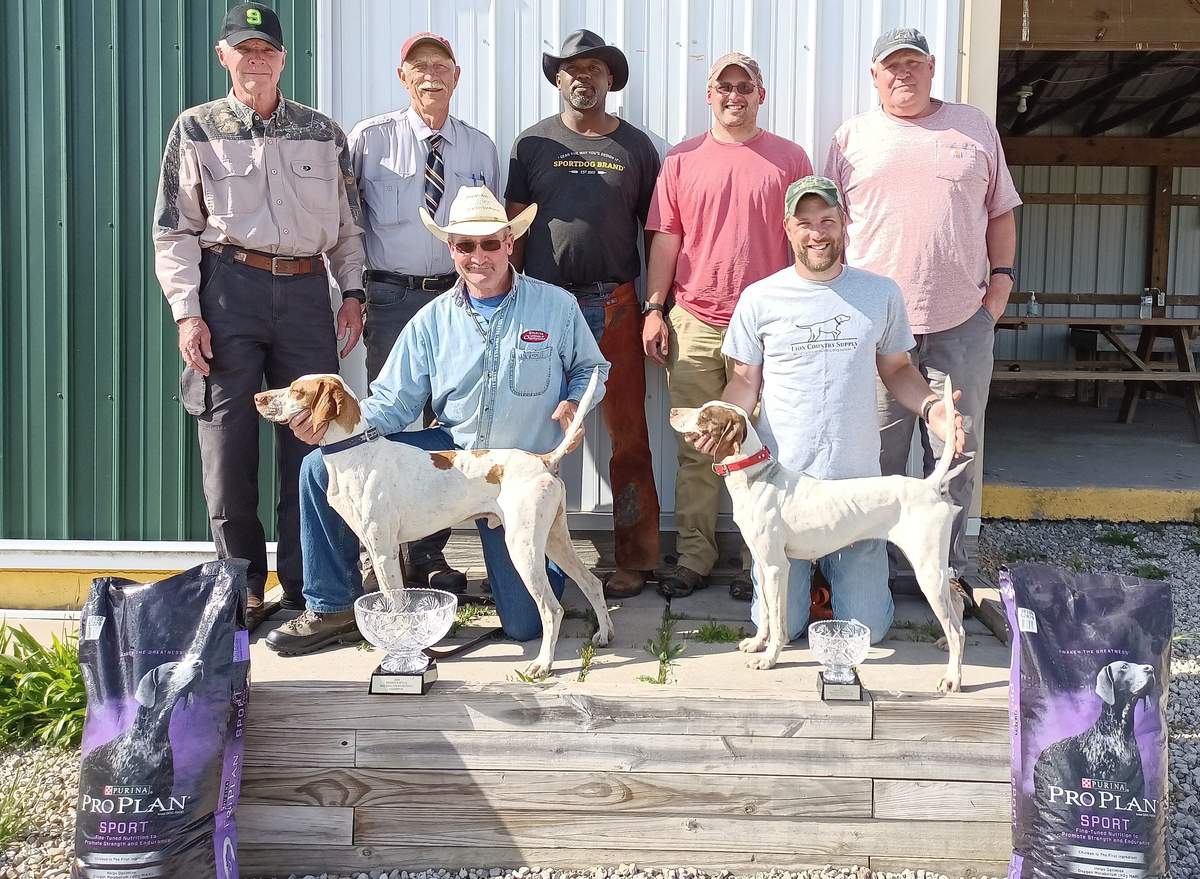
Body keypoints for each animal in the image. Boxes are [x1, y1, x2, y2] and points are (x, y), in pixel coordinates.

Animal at [672, 377, 969, 691]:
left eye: (706, 416)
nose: (673, 411)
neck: (757, 478)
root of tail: (929, 485)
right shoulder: (762, 565)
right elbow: (765, 613)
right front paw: (756, 644)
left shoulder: (778, 567)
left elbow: (778, 621)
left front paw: (769, 658)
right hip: (934, 570)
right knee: (957, 605)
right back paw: (943, 644)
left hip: (927, 570)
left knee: (957, 630)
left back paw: (952, 678)